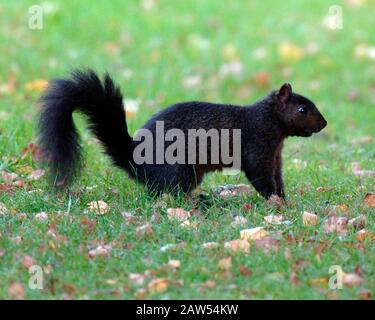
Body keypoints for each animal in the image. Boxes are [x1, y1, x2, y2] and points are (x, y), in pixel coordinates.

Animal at [36, 69, 328, 199]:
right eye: (302, 109)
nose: (324, 123)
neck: (269, 121)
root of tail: (134, 160)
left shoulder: (275, 156)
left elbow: (277, 177)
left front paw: (284, 198)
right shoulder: (257, 147)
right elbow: (261, 177)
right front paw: (274, 201)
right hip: (180, 169)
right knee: (170, 192)